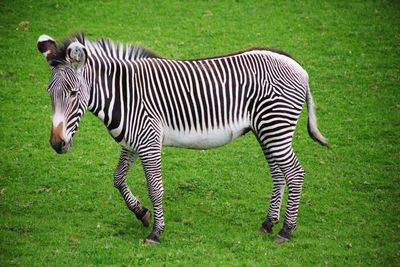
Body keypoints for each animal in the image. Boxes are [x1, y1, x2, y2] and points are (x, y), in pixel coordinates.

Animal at [37, 33, 328, 245]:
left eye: (73, 93)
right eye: (50, 93)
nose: (56, 144)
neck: (124, 95)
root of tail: (297, 66)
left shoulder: (149, 141)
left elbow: (155, 187)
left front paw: (156, 232)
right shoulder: (131, 143)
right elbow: (118, 179)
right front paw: (142, 214)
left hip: (275, 127)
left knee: (295, 173)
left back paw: (286, 230)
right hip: (267, 130)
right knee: (279, 174)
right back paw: (268, 223)